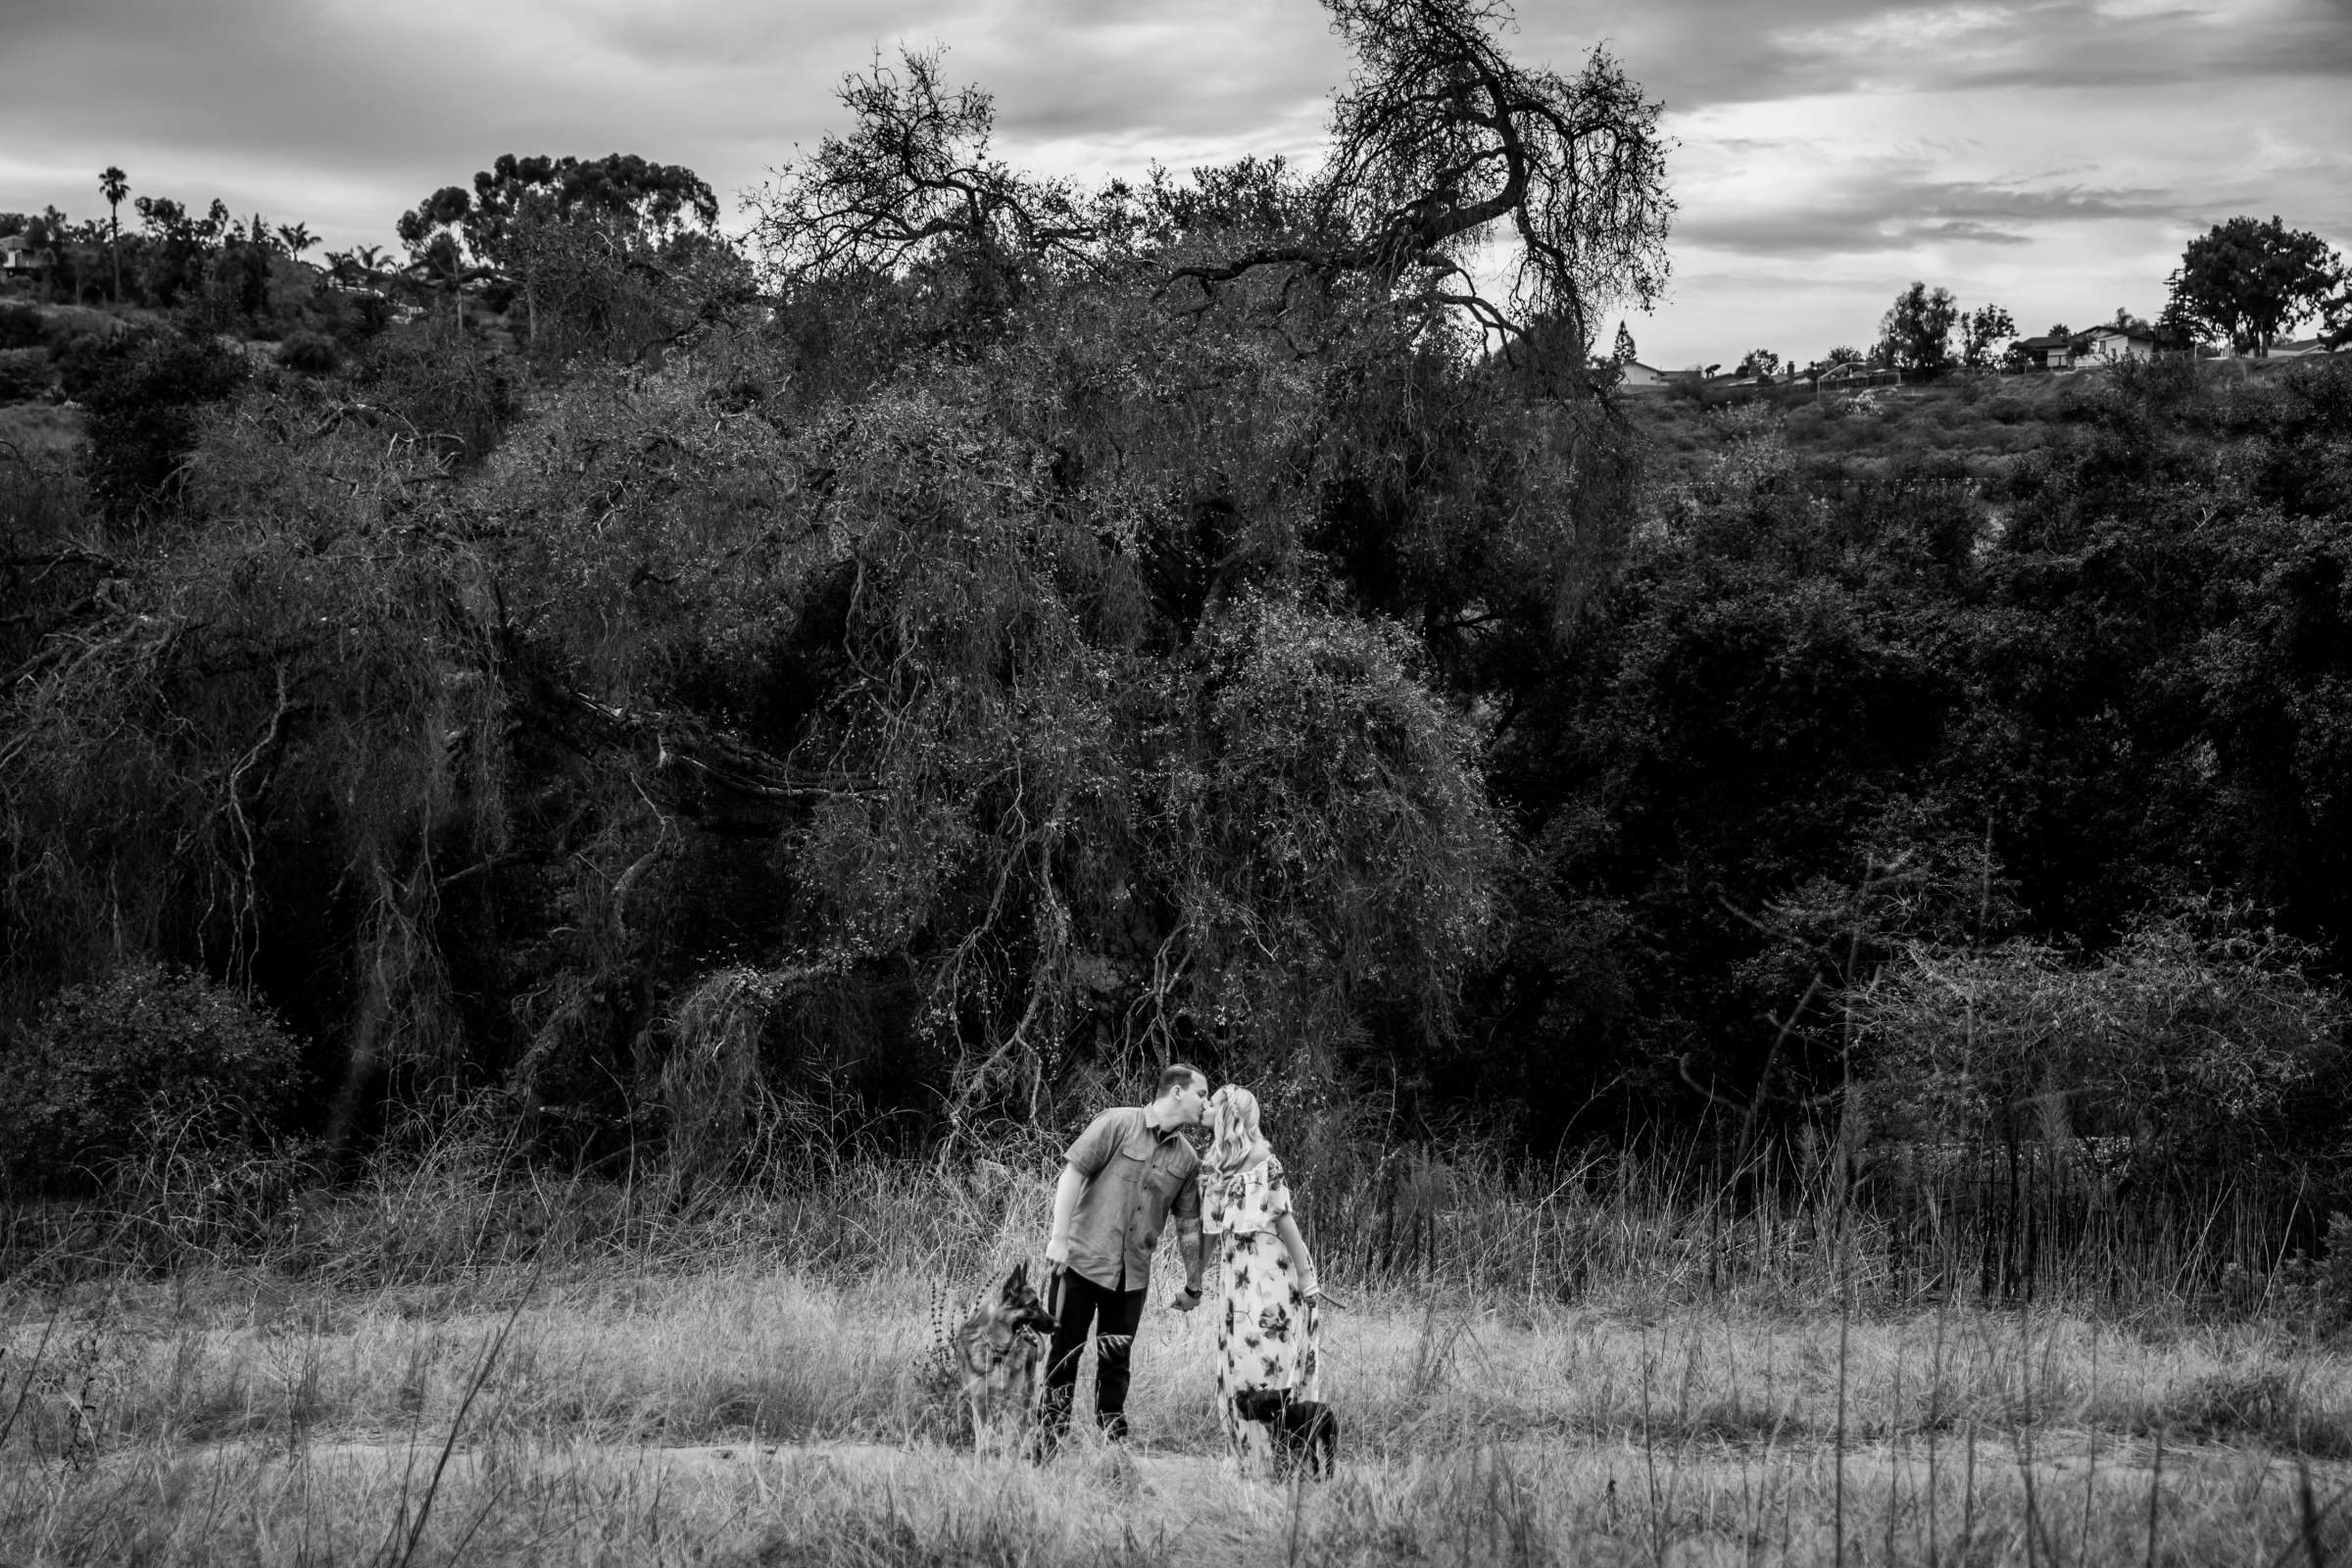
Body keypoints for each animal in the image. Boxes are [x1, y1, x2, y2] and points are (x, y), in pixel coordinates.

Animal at [955, 1259, 1067, 1457]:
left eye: (1040, 1303)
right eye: (1033, 1305)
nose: (1058, 1325)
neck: (997, 1351)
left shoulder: (1013, 1402)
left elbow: (1010, 1441)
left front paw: (1008, 1462)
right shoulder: (979, 1402)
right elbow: (982, 1441)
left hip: (1024, 1394)